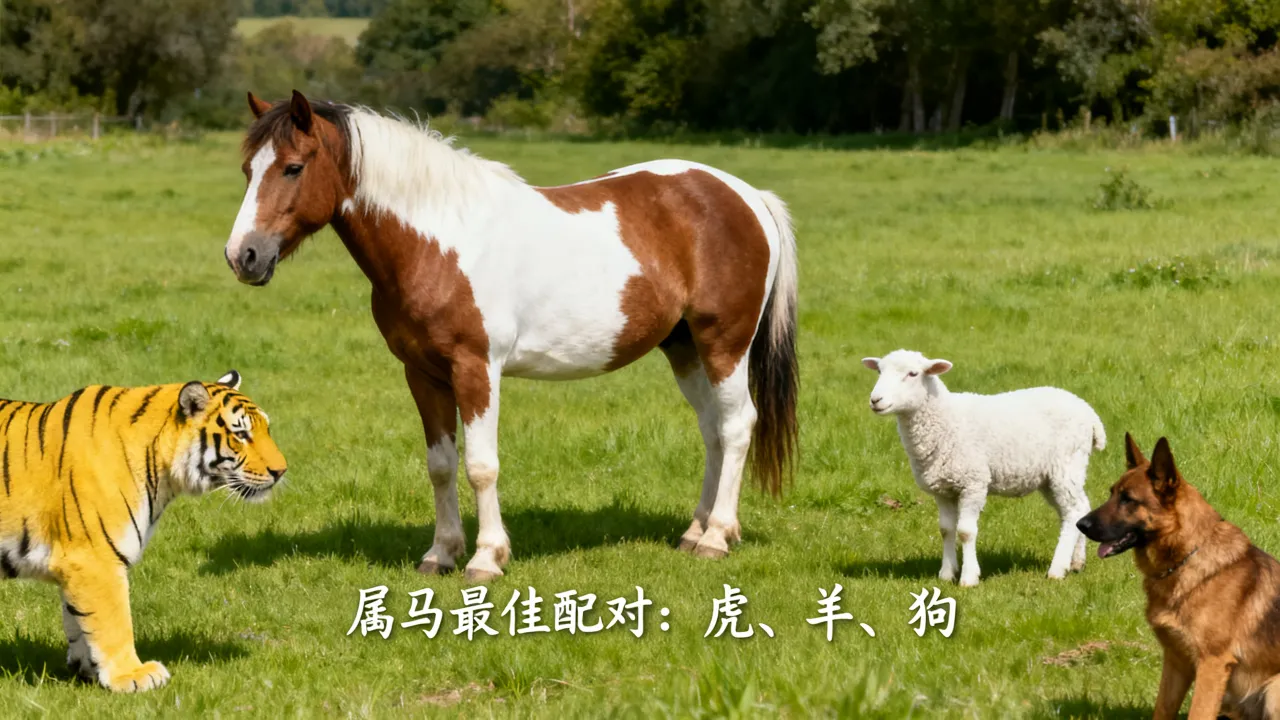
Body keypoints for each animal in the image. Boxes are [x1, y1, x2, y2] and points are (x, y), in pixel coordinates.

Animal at [225, 91, 799, 581]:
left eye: (293, 167)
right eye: (247, 170)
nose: (242, 256)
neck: (439, 241)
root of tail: (747, 195)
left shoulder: (476, 368)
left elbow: (481, 465)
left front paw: (486, 557)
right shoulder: (422, 373)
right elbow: (440, 465)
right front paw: (440, 554)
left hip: (724, 343)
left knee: (737, 425)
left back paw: (717, 537)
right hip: (684, 348)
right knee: (712, 429)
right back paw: (694, 531)